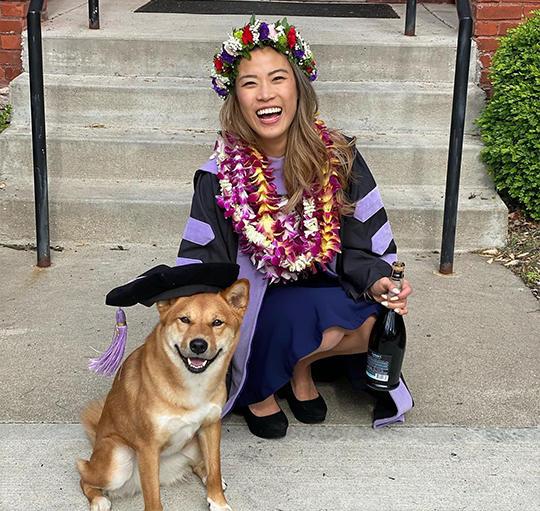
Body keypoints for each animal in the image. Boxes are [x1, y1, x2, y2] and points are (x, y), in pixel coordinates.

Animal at [77, 280, 250, 511]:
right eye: (184, 319)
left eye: (217, 322)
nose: (198, 345)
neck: (191, 384)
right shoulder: (148, 447)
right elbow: (153, 498)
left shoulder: (211, 426)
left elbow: (215, 468)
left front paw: (218, 502)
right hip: (118, 460)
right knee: (83, 474)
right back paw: (98, 499)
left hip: (193, 443)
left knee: (199, 465)